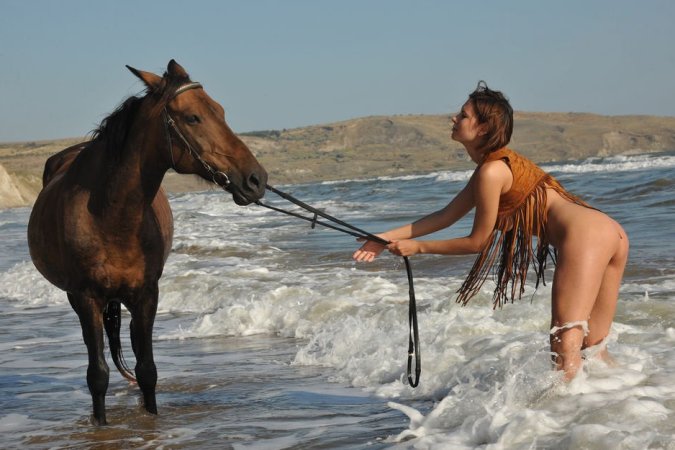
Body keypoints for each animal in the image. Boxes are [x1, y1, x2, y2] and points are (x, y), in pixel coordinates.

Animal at [27, 60, 268, 425]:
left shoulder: (147, 294)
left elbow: (147, 371)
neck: (111, 217)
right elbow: (97, 375)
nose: (256, 180)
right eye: (192, 117)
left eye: (220, 111)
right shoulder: (85, 298)